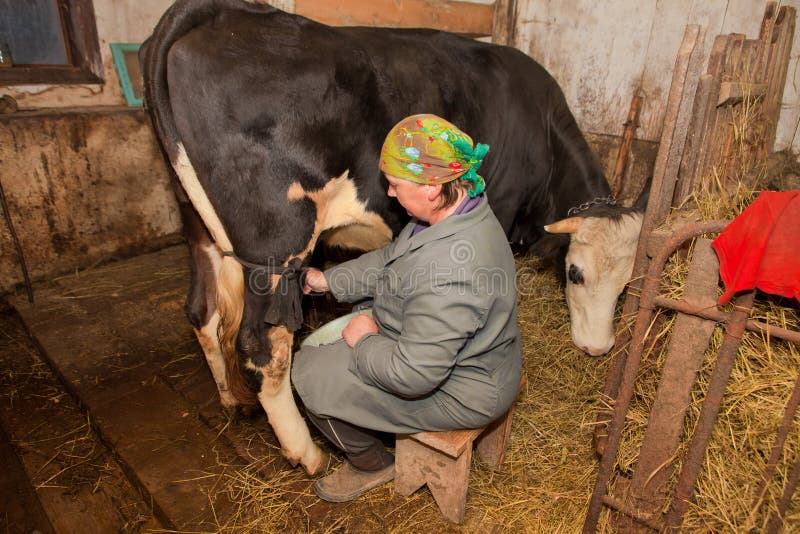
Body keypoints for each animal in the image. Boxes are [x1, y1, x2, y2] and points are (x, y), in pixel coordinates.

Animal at [141, 0, 645, 475]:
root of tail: (225, 12)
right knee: (265, 347)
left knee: (203, 312)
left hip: (199, 229)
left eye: (626, 287)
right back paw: (306, 453)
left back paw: (232, 401)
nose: (598, 348)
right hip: (276, 246)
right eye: (574, 273)